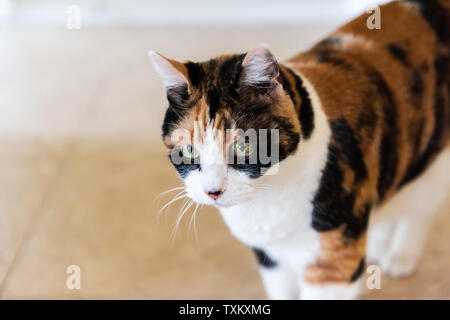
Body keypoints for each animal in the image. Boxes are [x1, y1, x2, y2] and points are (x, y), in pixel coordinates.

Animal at [149, 0, 448, 300]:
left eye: (244, 145)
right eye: (189, 150)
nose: (213, 191)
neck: (268, 198)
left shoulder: (332, 265)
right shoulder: (272, 260)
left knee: (420, 208)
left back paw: (401, 257)